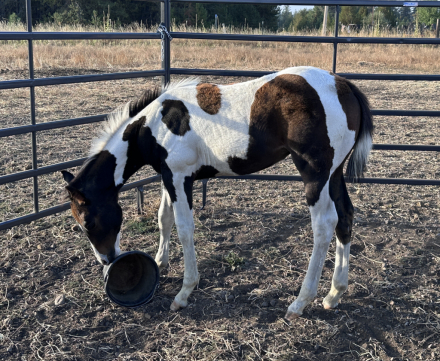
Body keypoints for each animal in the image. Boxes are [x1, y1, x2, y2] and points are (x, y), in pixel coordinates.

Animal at [61, 65, 372, 318]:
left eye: (88, 222)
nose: (106, 259)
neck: (156, 125)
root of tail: (343, 85)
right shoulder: (169, 176)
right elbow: (164, 218)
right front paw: (160, 261)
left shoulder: (180, 178)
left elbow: (185, 229)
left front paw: (184, 292)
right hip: (334, 174)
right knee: (345, 217)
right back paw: (334, 294)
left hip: (315, 175)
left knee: (324, 224)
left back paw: (300, 302)